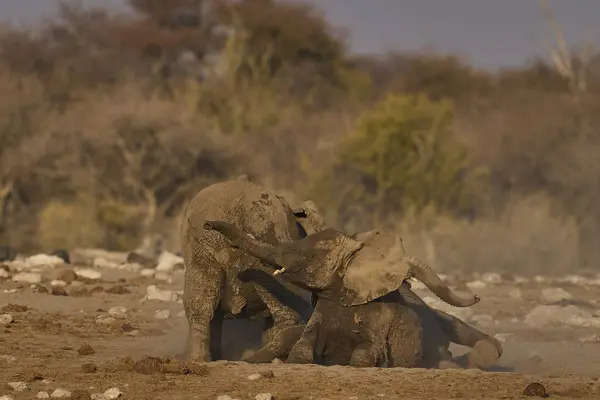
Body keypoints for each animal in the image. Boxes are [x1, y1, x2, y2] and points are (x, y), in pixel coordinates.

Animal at [204, 219, 480, 368]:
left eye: (309, 256)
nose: (207, 224)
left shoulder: (379, 318)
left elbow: (367, 351)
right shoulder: (321, 315)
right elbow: (303, 345)